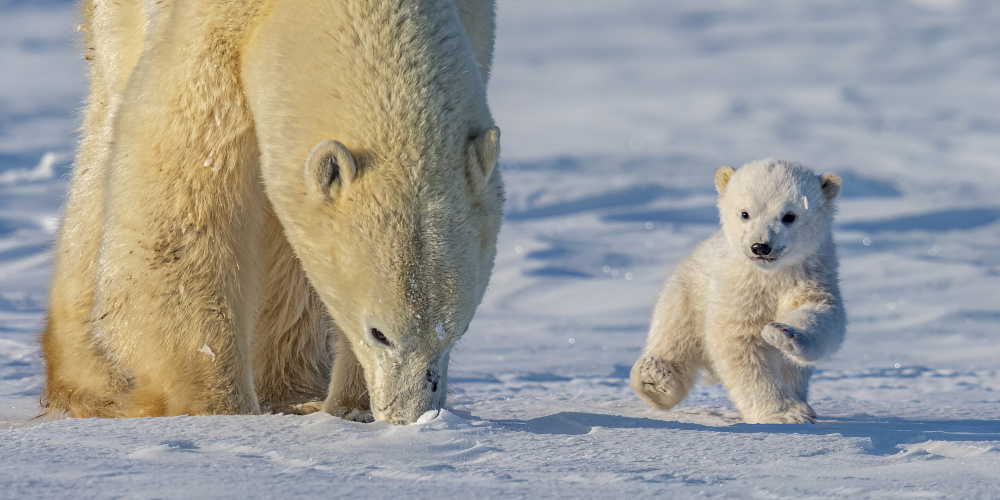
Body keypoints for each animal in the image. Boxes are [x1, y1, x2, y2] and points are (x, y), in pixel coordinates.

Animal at [42, 0, 504, 424]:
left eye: (458, 330)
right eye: (379, 333)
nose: (413, 417)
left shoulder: (474, 23)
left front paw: (348, 407)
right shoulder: (206, 38)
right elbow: (185, 196)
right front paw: (218, 406)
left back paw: (296, 392)